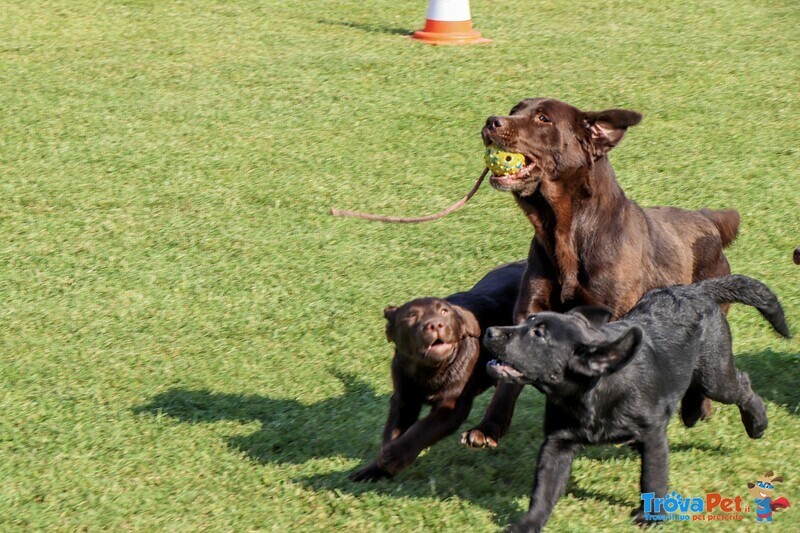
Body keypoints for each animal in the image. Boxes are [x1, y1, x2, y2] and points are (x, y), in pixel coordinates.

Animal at [350, 260, 524, 480]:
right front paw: (375, 469)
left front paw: (394, 456)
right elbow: (392, 430)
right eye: (411, 316)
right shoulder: (404, 398)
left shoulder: (452, 405)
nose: (435, 324)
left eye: (444, 312)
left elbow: (422, 429)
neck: (427, 372)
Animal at [462, 97, 736, 446]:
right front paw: (488, 428)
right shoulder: (530, 309)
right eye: (515, 109)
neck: (565, 231)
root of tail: (707, 221)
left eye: (542, 118)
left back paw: (696, 408)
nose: (492, 121)